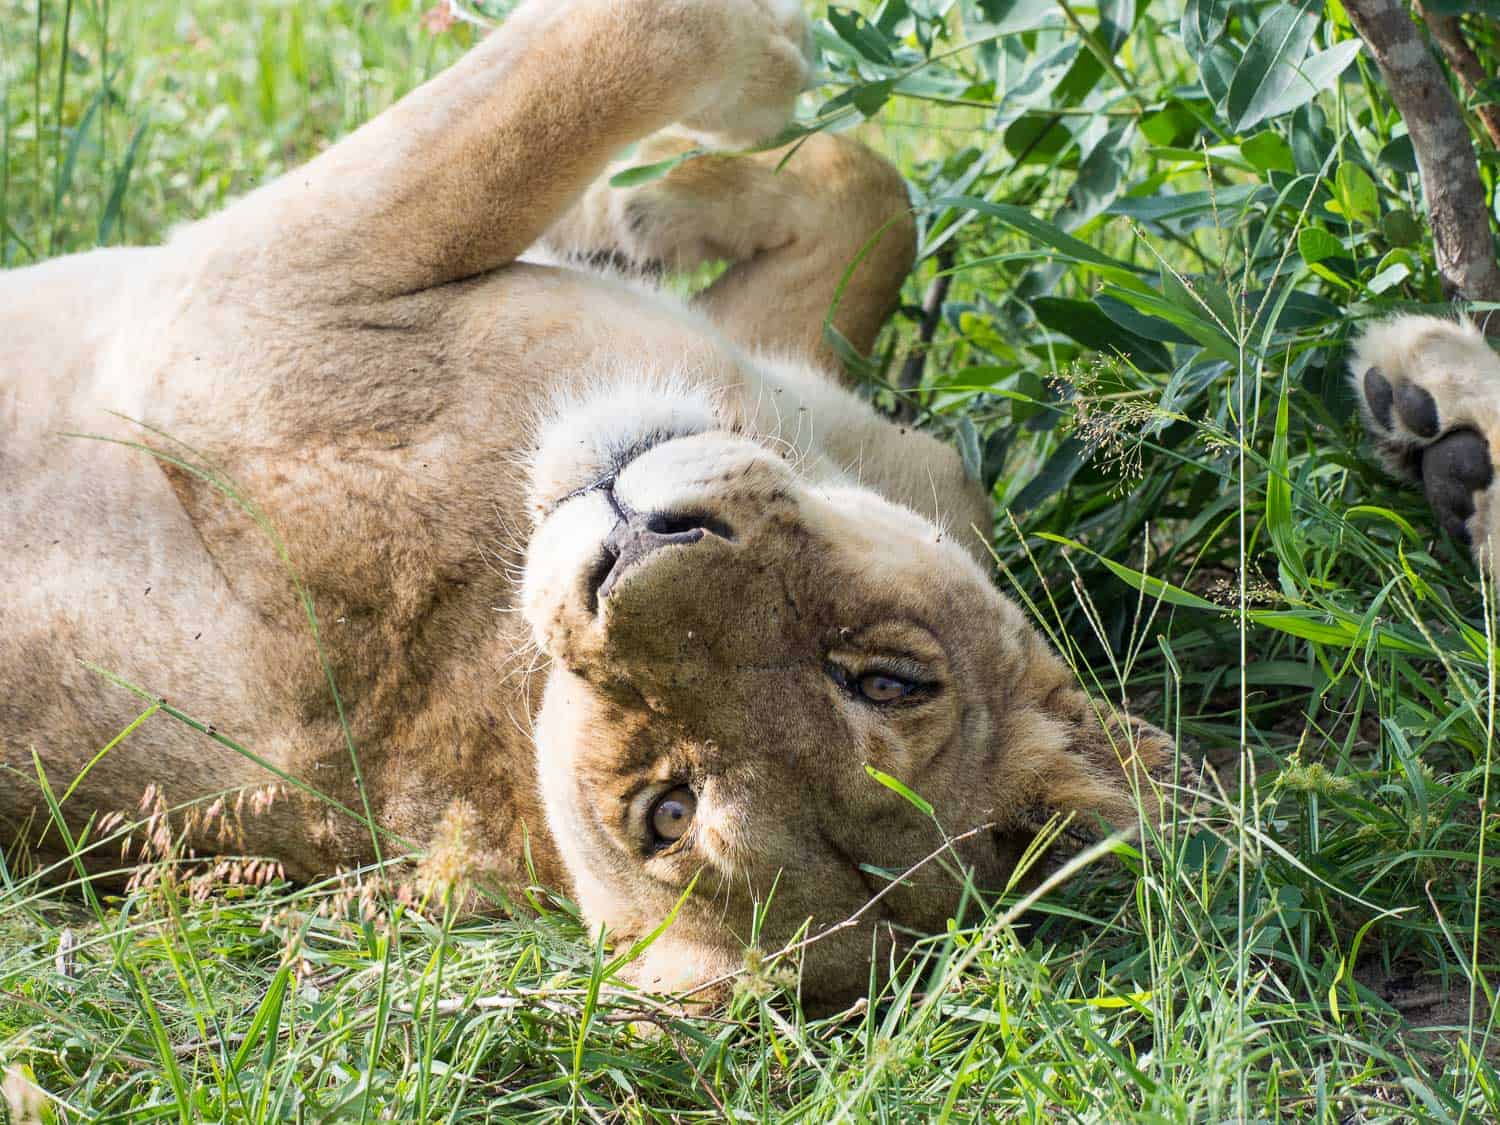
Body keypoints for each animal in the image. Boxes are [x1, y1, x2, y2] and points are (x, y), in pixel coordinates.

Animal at [5, 0, 1188, 1002]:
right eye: (888, 680)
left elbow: (609, 52)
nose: (628, 549)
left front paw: (748, 86)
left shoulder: (246, 298)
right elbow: (864, 186)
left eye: (669, 810)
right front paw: (651, 200)